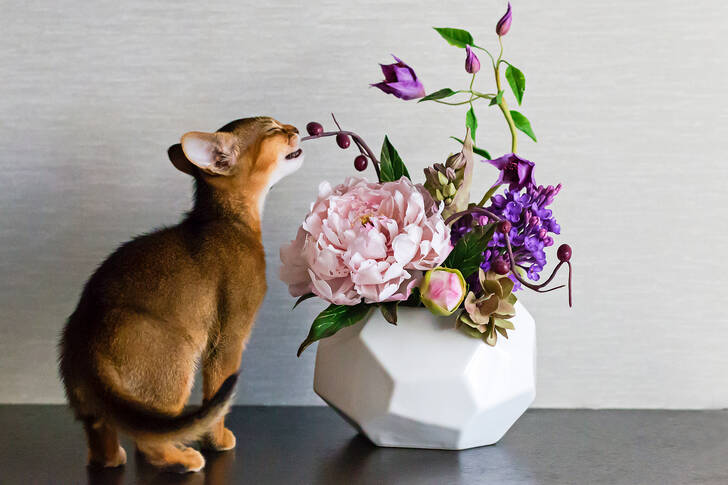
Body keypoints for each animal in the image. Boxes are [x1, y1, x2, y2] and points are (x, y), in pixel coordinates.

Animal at [58, 115, 304, 470]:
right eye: (272, 128)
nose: (296, 128)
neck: (229, 222)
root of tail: (84, 341)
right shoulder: (228, 338)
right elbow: (217, 393)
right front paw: (217, 441)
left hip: (93, 402)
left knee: (102, 434)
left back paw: (113, 458)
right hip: (176, 357)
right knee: (148, 441)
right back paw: (183, 458)